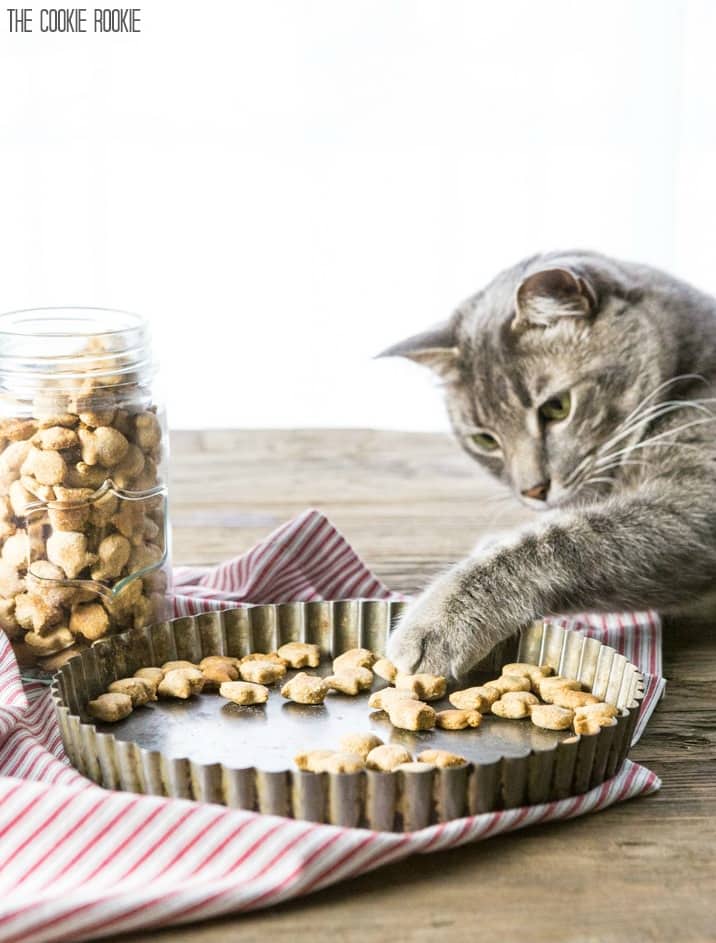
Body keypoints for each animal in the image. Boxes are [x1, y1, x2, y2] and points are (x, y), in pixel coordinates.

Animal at [384, 251, 716, 680]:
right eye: (485, 440)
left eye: (557, 407)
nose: (533, 490)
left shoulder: (691, 504)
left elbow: (550, 540)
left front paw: (436, 619)